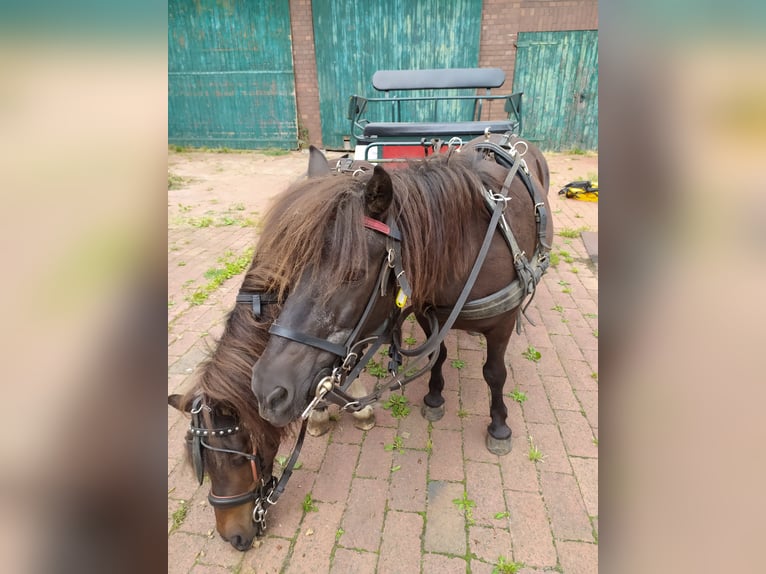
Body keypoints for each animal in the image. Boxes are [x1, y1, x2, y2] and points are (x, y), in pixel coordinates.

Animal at [255, 138, 556, 454]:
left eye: (354, 273)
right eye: (293, 264)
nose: (267, 390)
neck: (471, 249)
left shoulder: (503, 324)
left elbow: (495, 373)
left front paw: (499, 426)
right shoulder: (427, 313)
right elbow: (438, 355)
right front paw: (434, 398)